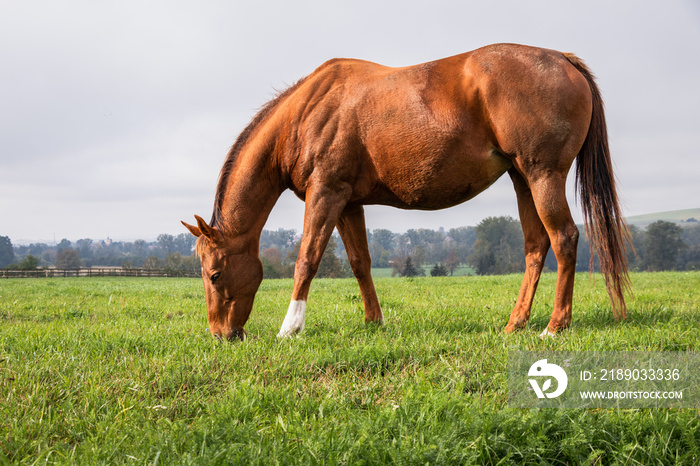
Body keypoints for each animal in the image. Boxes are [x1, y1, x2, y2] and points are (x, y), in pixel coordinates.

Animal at [182, 43, 628, 340]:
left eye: (214, 273)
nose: (221, 335)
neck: (307, 112)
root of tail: (561, 58)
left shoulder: (325, 194)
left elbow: (306, 260)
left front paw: (290, 328)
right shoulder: (348, 203)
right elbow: (360, 263)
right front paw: (373, 321)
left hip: (542, 176)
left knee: (564, 238)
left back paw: (555, 326)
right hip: (523, 179)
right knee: (536, 246)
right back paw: (515, 323)